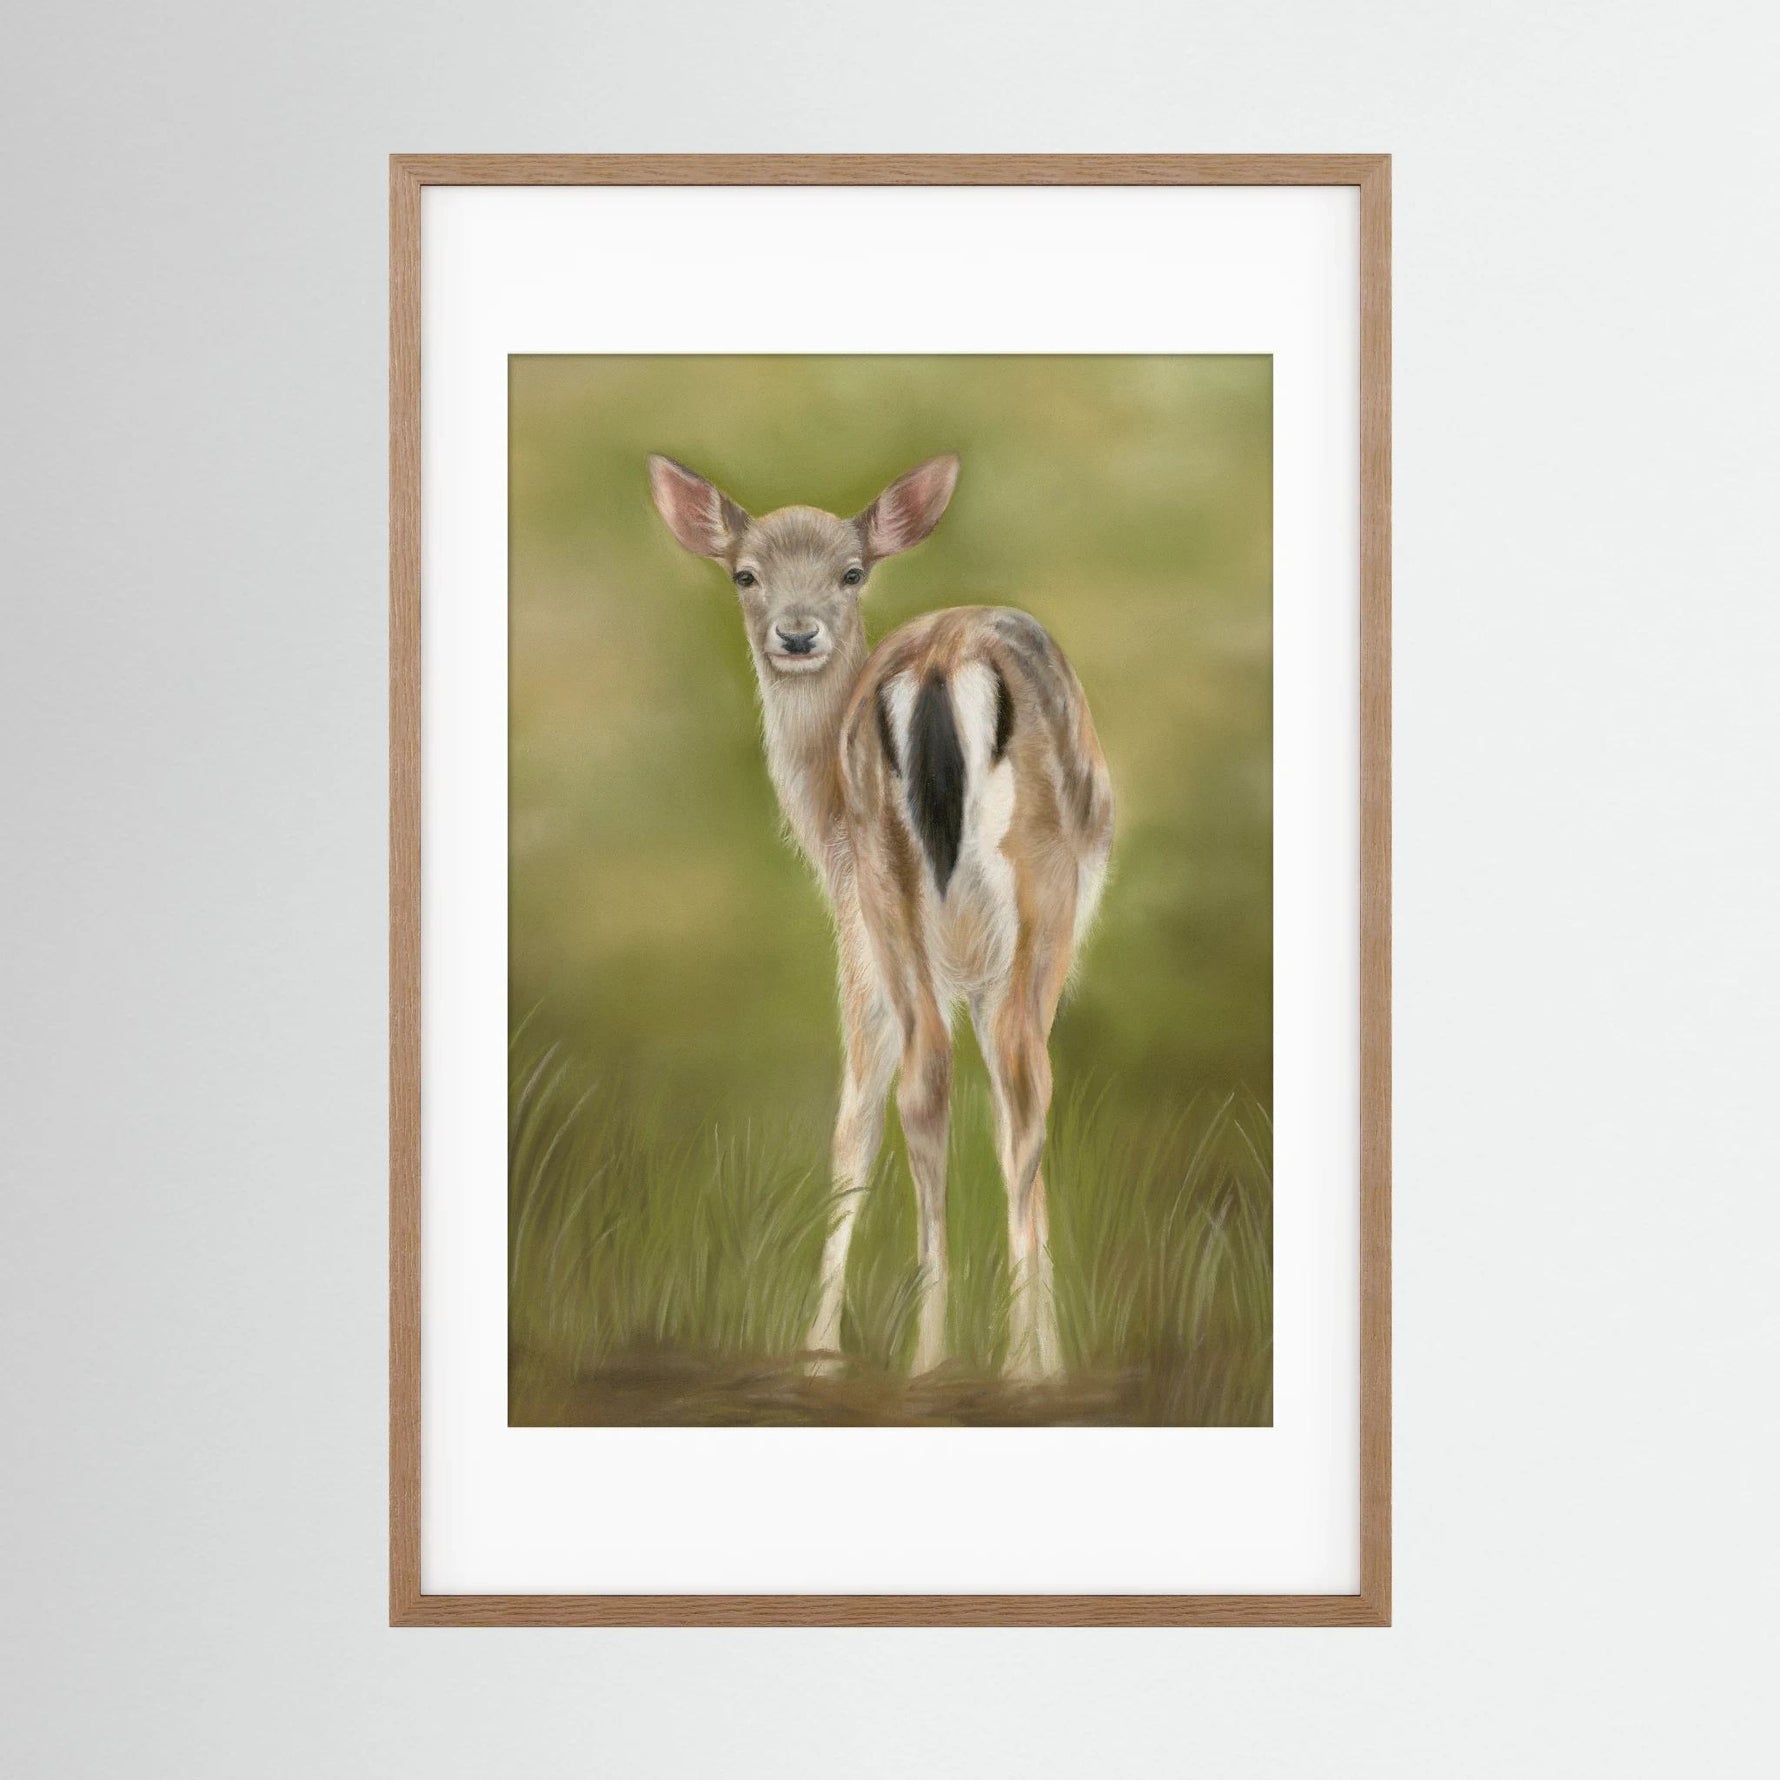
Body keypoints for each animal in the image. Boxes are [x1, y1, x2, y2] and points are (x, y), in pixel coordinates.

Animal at [647, 452, 1114, 1380]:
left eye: (851, 572)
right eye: (745, 573)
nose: (796, 635)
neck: (819, 819)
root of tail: (939, 664)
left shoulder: (875, 935)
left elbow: (866, 1116)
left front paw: (820, 1348)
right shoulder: (875, 942)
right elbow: (871, 1119)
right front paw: (824, 1346)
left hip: (902, 888)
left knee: (945, 1080)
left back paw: (943, 1356)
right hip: (1015, 895)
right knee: (1005, 1081)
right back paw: (995, 1364)